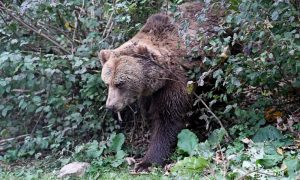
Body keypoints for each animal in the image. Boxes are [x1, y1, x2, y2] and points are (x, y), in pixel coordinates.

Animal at [98, 2, 223, 172]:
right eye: (107, 82)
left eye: (120, 83)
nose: (110, 106)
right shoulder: (148, 94)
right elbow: (151, 114)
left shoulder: (174, 82)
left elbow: (167, 118)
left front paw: (146, 162)